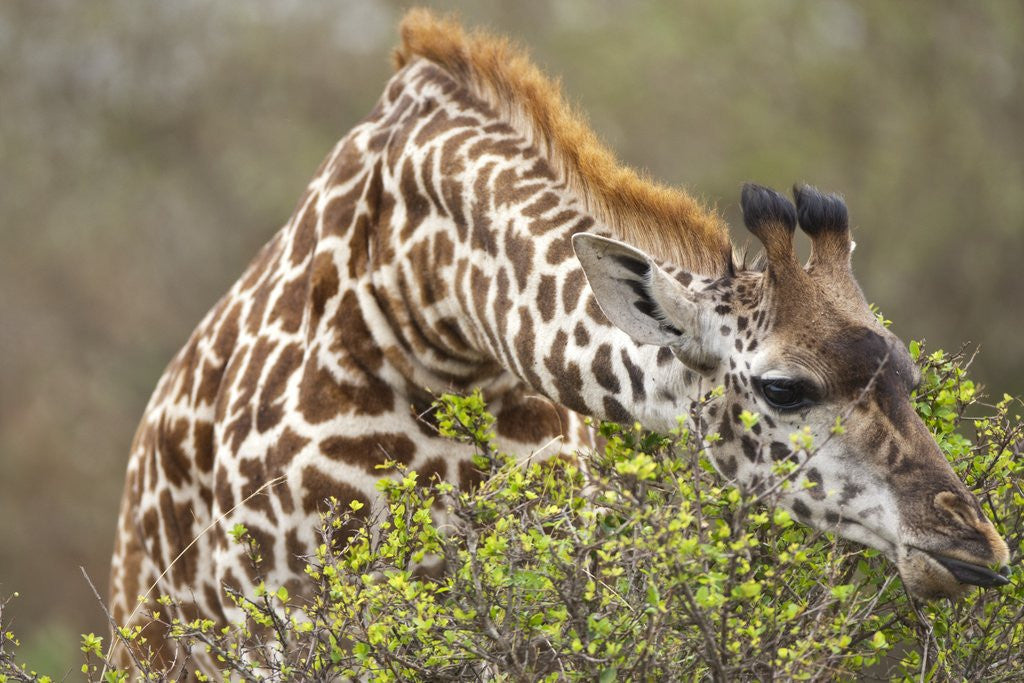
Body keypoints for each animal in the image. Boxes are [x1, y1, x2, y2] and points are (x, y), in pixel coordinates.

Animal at [108, 9, 1010, 674]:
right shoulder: (288, 623)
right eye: (783, 387)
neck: (429, 314)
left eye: (907, 372)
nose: (975, 543)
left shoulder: (551, 609)